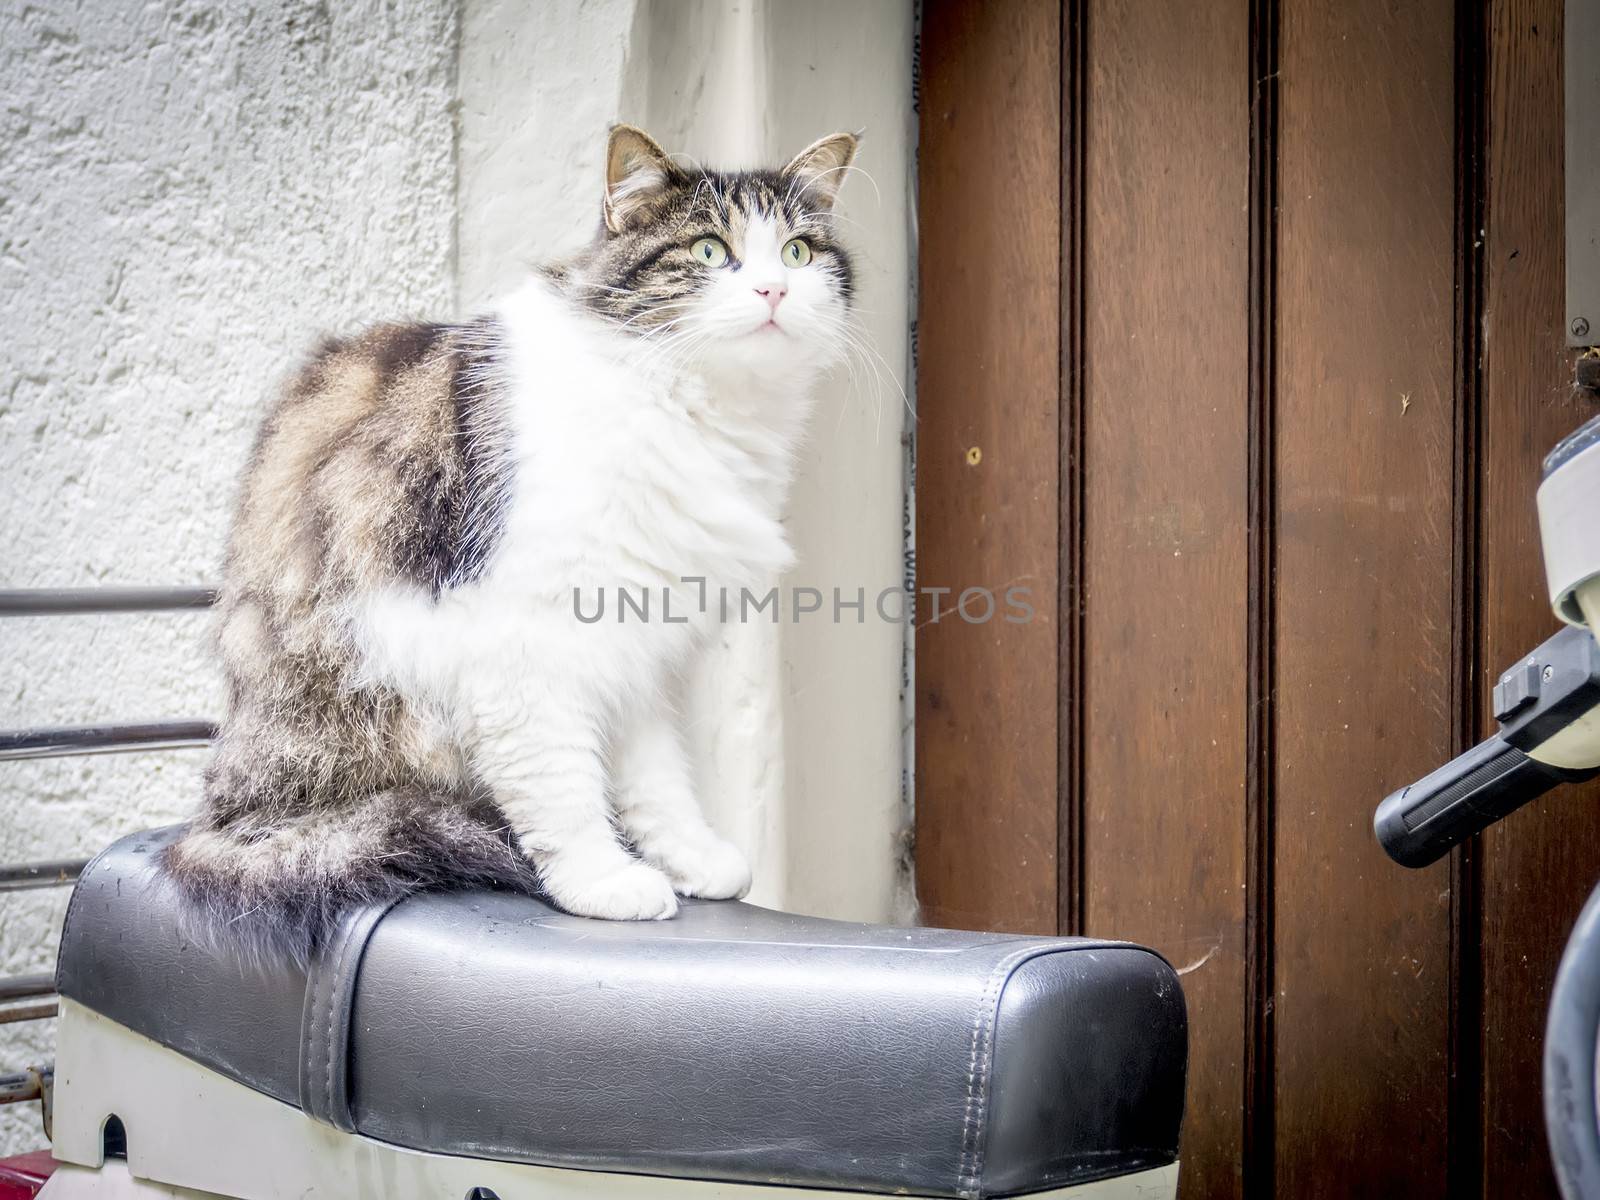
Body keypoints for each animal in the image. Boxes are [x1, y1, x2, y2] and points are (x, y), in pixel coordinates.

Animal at [164, 127, 857, 960]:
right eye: (709, 250)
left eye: (797, 253)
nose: (774, 292)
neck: (695, 409)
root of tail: (221, 816)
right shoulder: (527, 637)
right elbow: (560, 782)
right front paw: (603, 880)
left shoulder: (640, 646)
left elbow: (656, 777)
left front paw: (686, 856)